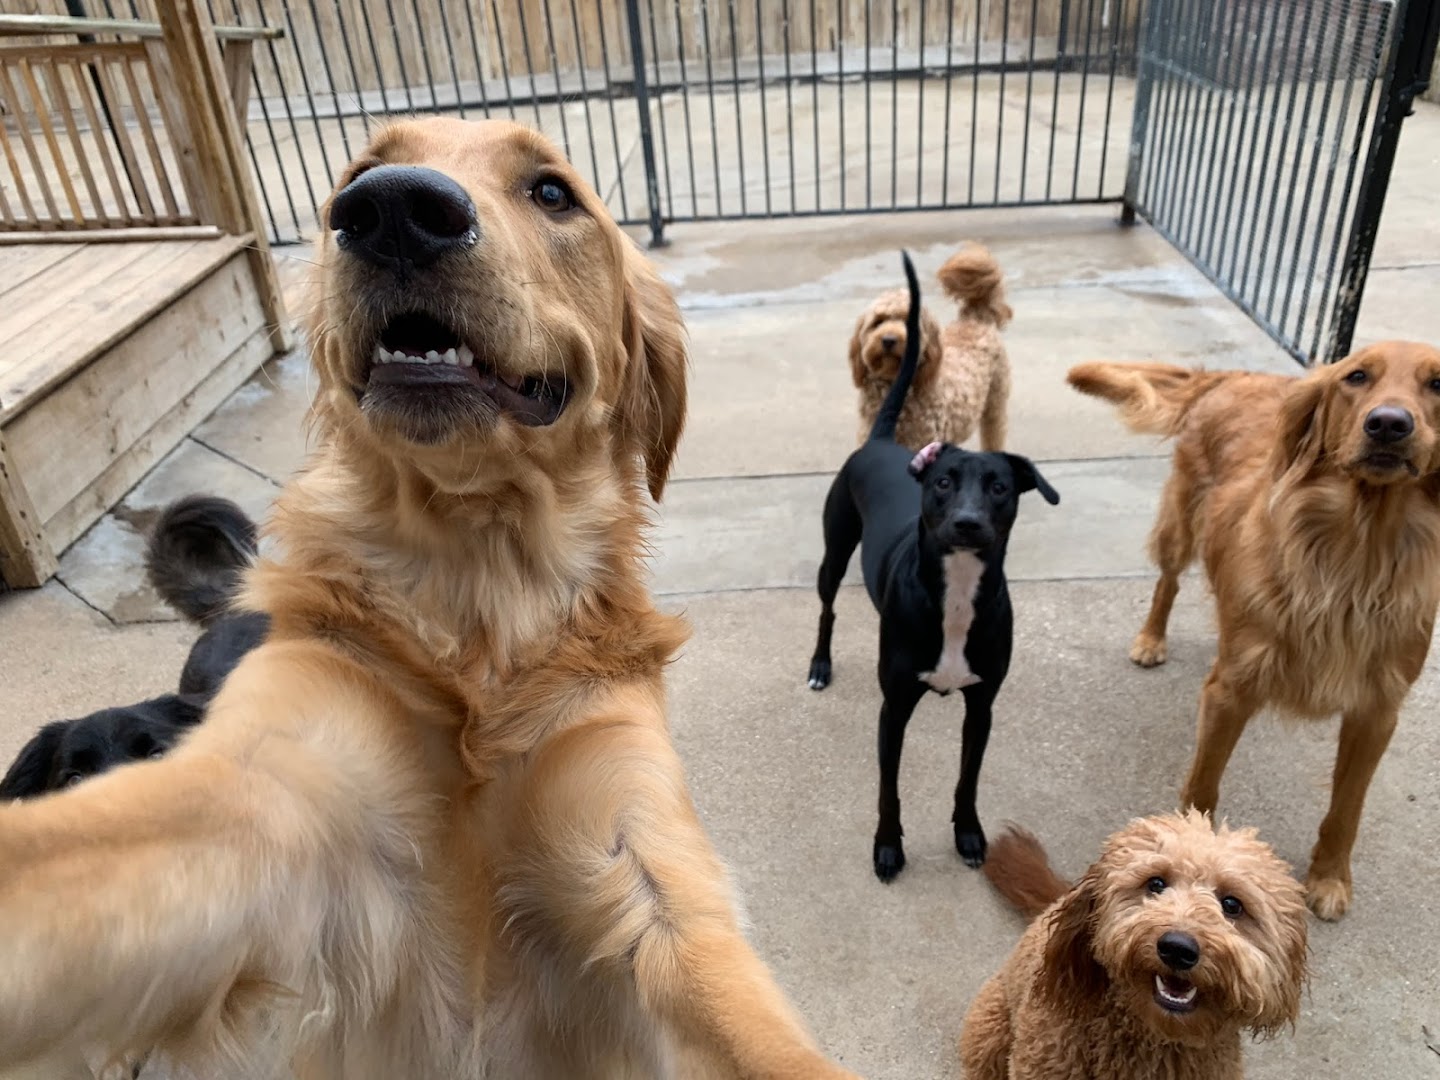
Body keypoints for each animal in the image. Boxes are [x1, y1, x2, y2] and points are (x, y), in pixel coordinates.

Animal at [0, 118, 852, 1080]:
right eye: (363, 170)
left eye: (553, 192)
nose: (392, 211)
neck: (478, 593)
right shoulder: (275, 790)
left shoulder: (644, 867)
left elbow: (753, 1029)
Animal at [1065, 344, 1440, 921]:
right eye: (1357, 376)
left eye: (1438, 383)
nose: (1389, 424)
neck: (1357, 556)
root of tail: (1239, 376)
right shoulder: (1231, 689)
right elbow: (1203, 784)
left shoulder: (1376, 711)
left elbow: (1347, 806)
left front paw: (1330, 877)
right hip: (1182, 524)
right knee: (1167, 581)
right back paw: (1150, 639)